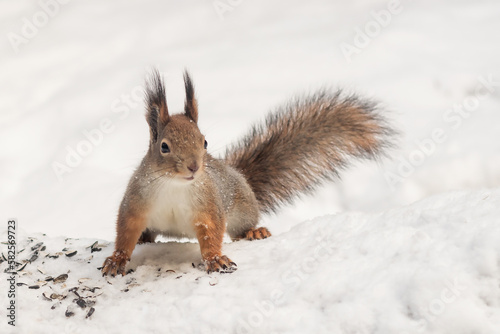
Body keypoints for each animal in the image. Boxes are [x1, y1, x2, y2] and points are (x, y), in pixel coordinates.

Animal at [101, 69, 394, 276]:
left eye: (204, 142)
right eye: (164, 147)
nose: (195, 166)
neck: (176, 185)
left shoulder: (208, 205)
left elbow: (211, 231)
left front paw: (215, 259)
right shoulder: (137, 201)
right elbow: (127, 230)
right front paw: (116, 260)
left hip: (242, 208)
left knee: (241, 228)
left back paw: (255, 232)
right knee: (147, 234)